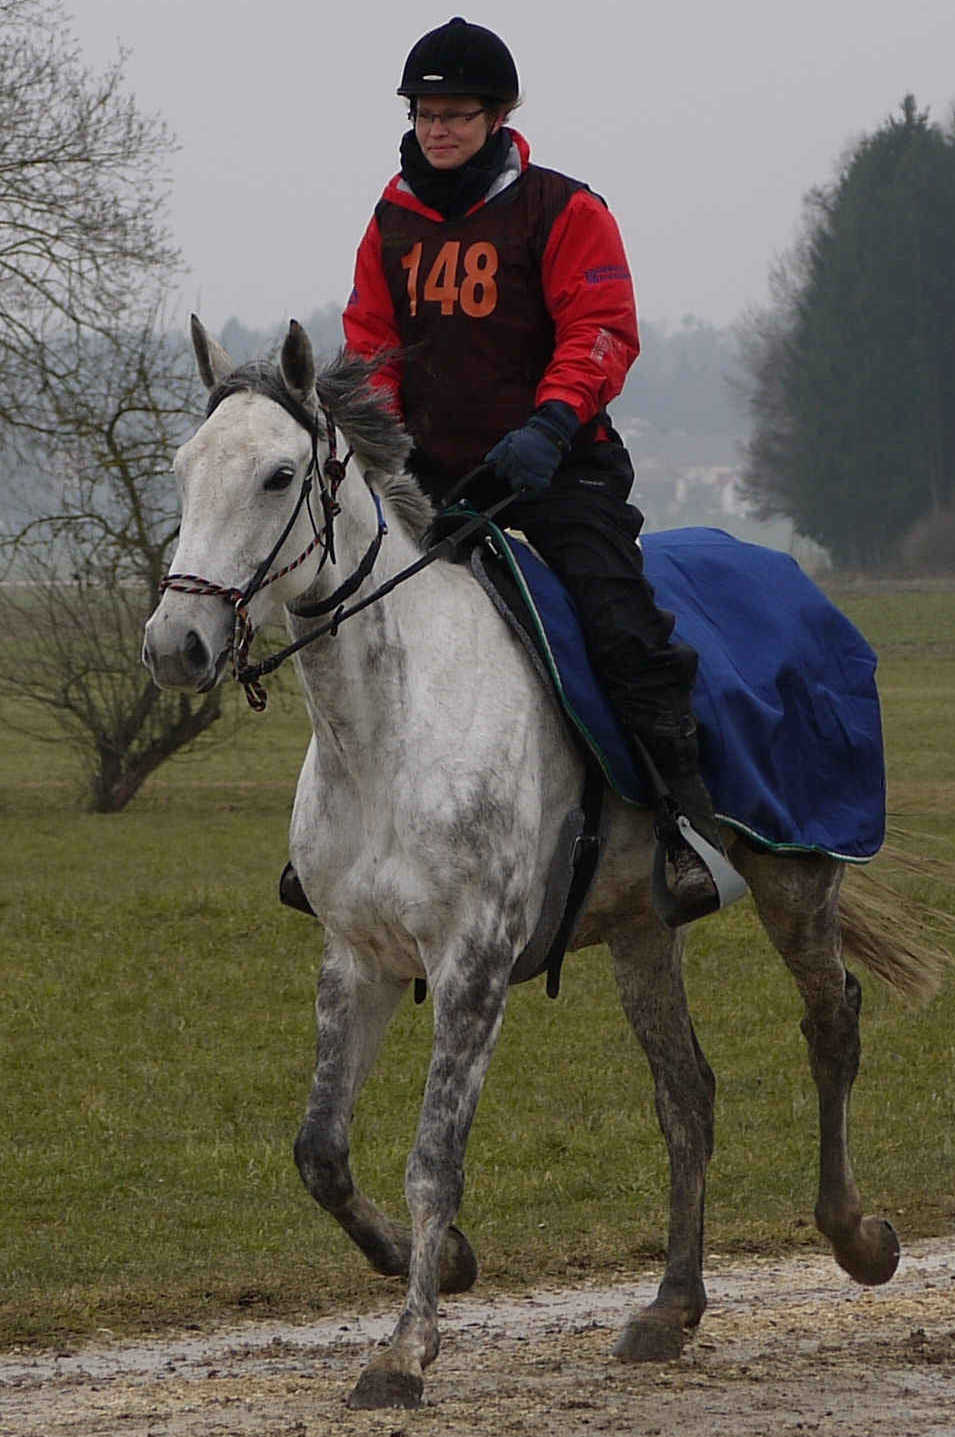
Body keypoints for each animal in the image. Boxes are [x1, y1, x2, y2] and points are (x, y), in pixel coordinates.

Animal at [141, 320, 930, 1408]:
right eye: (184, 468)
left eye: (277, 474)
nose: (175, 643)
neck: (390, 728)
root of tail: (793, 584)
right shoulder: (358, 960)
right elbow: (320, 1151)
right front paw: (442, 1259)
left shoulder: (471, 965)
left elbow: (432, 1157)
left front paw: (406, 1349)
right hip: (643, 929)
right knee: (686, 1094)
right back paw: (670, 1306)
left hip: (795, 876)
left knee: (830, 1027)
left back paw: (855, 1237)